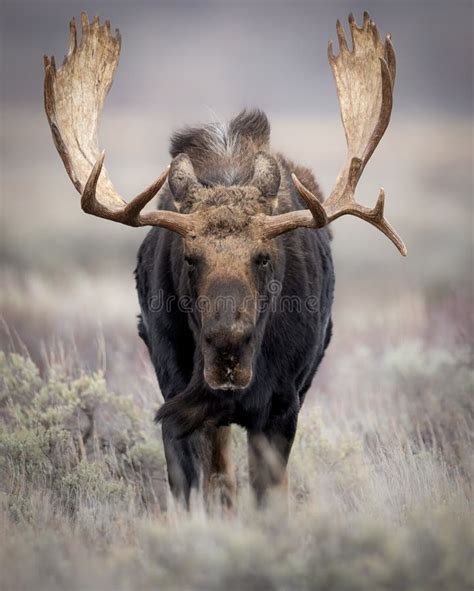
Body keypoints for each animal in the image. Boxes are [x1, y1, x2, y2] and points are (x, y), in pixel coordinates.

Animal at [44, 9, 406, 508]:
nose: (227, 345)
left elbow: (269, 495)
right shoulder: (178, 395)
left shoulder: (282, 405)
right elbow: (208, 487)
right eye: (190, 257)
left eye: (264, 257)